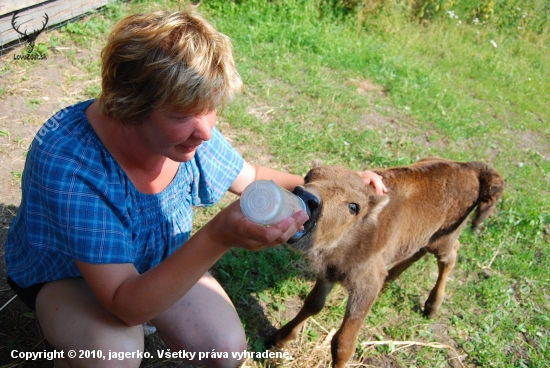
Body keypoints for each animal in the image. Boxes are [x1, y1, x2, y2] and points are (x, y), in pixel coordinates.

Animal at [274, 157, 506, 368]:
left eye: (353, 206)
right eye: (308, 177)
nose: (307, 196)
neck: (357, 231)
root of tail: (469, 167)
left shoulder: (366, 287)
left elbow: (342, 343)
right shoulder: (329, 273)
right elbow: (313, 304)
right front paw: (280, 339)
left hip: (443, 240)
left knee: (449, 258)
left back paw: (431, 307)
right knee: (418, 252)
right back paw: (391, 280)